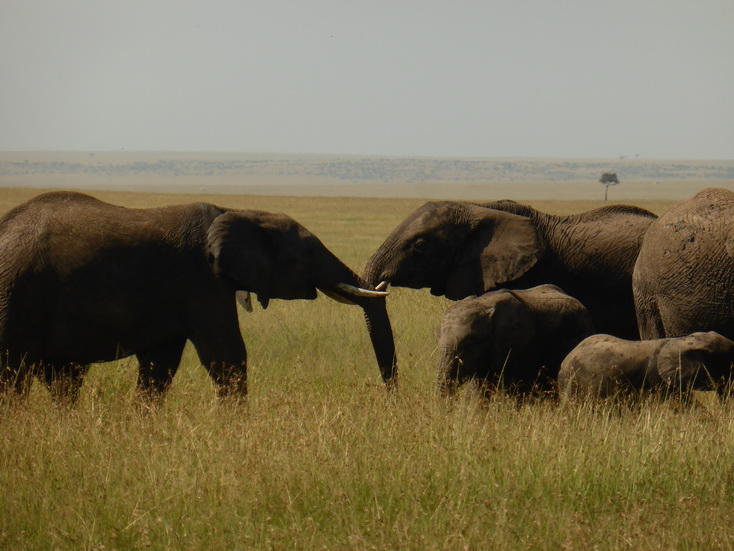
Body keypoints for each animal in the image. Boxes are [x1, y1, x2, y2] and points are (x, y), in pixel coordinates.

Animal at [0, 192, 396, 404]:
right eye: (311, 250)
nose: (391, 398)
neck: (237, 210)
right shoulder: (201, 281)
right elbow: (227, 356)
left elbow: (160, 366)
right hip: (15, 295)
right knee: (13, 374)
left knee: (63, 378)